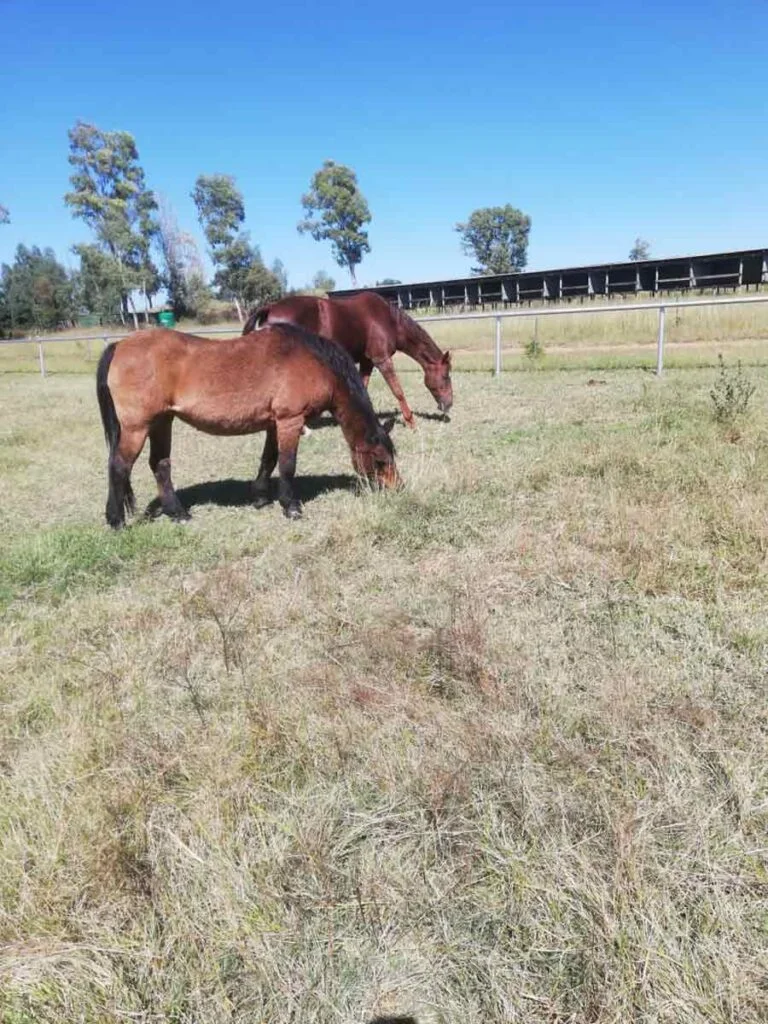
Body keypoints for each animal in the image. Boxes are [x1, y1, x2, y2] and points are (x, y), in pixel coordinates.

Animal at [94, 323, 403, 528]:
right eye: (380, 460)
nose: (397, 488)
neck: (312, 361)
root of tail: (119, 346)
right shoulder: (290, 421)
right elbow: (287, 464)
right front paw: (291, 507)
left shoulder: (273, 424)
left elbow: (269, 459)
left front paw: (260, 497)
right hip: (137, 428)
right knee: (119, 467)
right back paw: (116, 521)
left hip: (161, 421)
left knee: (160, 465)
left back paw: (178, 514)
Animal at [243, 292, 454, 428]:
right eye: (445, 377)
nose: (448, 404)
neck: (389, 320)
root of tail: (270, 308)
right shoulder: (382, 359)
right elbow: (398, 391)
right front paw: (411, 421)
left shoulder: (367, 362)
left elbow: (363, 387)